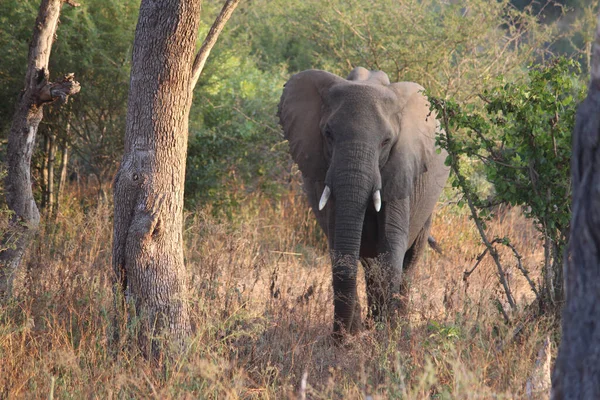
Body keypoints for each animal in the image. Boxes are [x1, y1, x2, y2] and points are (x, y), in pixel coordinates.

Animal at [278, 66, 448, 338]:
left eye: (386, 141)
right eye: (328, 134)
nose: (339, 338)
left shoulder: (401, 167)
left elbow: (391, 248)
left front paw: (386, 338)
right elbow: (340, 247)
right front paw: (354, 338)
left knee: (409, 261)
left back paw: (398, 327)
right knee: (368, 264)